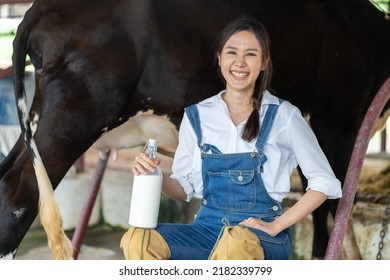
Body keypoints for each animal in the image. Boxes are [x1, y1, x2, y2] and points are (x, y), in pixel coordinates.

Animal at [0, 0, 390, 260]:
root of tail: (41, 7)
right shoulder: (338, 121)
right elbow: (334, 202)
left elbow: (327, 199)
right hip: (75, 115)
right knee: (18, 196)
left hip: (39, 118)